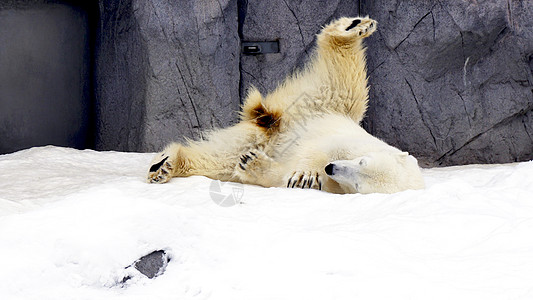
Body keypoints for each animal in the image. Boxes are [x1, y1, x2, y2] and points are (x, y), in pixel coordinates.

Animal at [147, 17, 424, 195]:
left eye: (359, 184)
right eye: (362, 161)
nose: (331, 167)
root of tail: (275, 120)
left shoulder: (334, 186)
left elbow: (283, 178)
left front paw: (270, 169)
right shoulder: (350, 142)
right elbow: (315, 151)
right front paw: (305, 173)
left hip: (251, 138)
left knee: (218, 159)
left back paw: (166, 165)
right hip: (327, 102)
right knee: (346, 81)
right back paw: (354, 27)